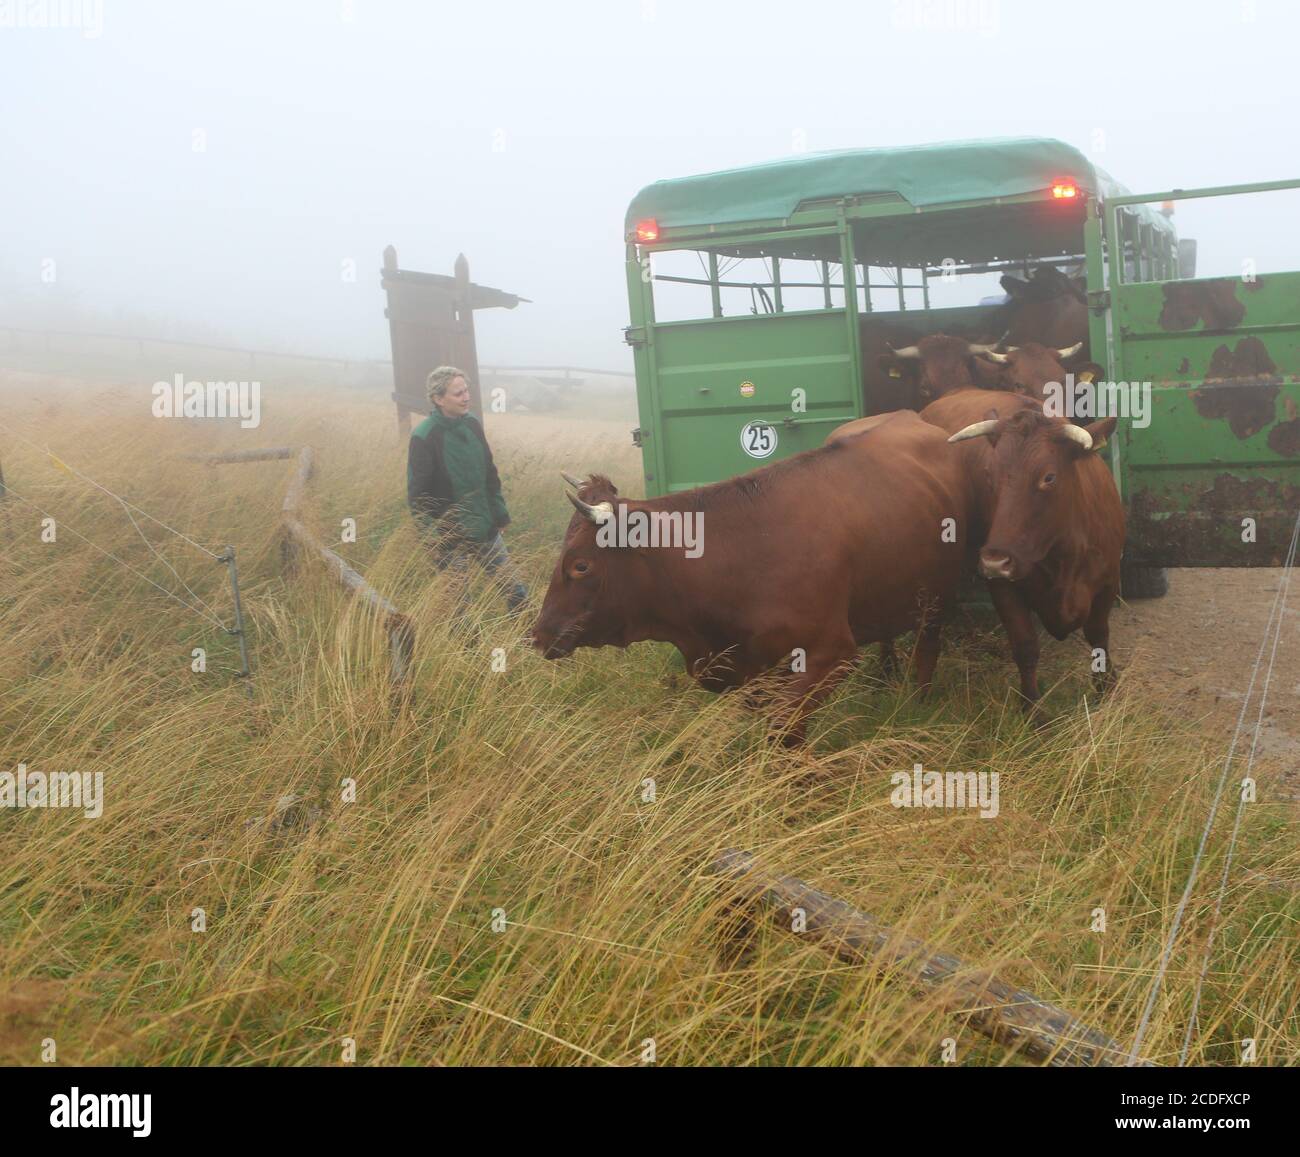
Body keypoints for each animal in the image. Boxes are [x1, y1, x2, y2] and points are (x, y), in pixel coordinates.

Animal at [533, 410, 972, 743]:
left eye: (581, 565)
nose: (539, 635)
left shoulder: (831, 654)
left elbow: (784, 730)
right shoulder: (749, 670)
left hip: (936, 597)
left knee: (927, 650)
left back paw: (917, 702)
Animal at [920, 390, 1123, 702]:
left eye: (1049, 477)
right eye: (989, 475)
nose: (995, 561)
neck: (1065, 554)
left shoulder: (1109, 580)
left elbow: (1099, 636)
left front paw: (1105, 689)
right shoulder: (1003, 587)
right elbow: (1025, 646)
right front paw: (1031, 707)